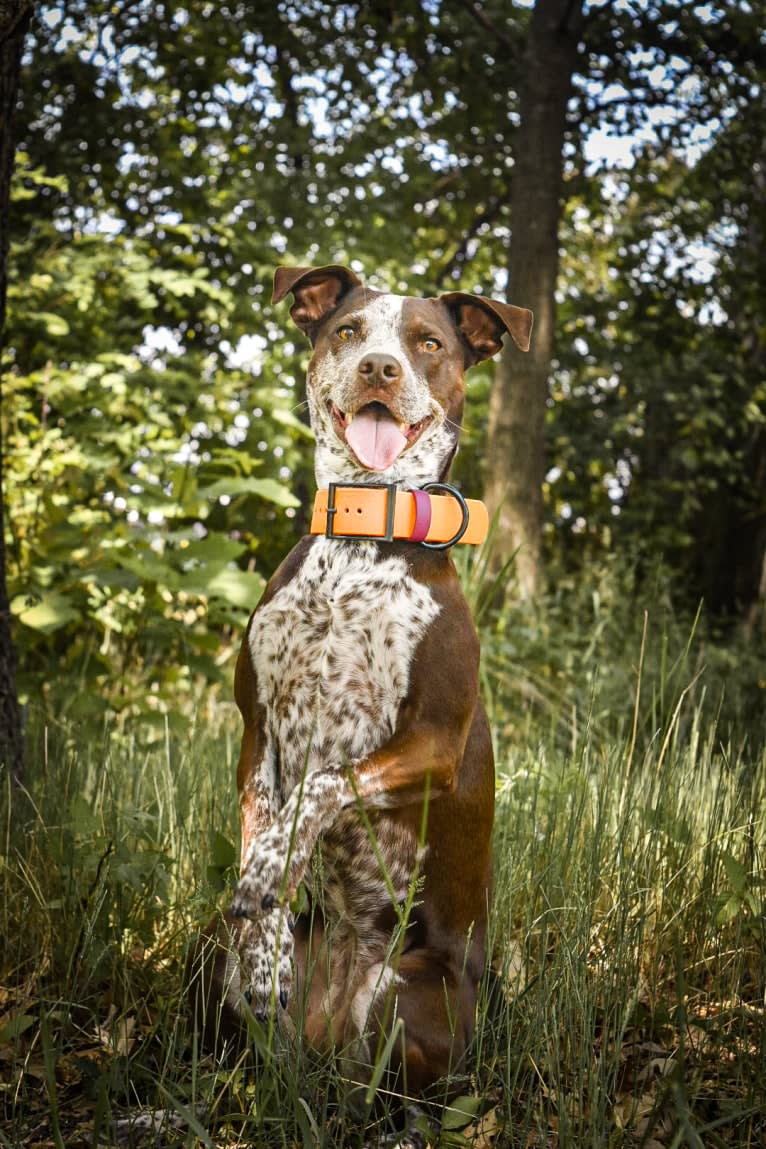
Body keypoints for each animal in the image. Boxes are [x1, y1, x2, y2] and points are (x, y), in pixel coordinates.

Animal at [191, 264, 532, 1098]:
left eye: (428, 343)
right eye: (348, 330)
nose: (380, 368)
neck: (359, 542)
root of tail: (324, 1041)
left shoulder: (433, 745)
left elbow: (325, 785)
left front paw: (275, 865)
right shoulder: (259, 734)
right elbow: (265, 833)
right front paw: (268, 940)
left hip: (409, 994)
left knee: (384, 1098)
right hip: (213, 958)